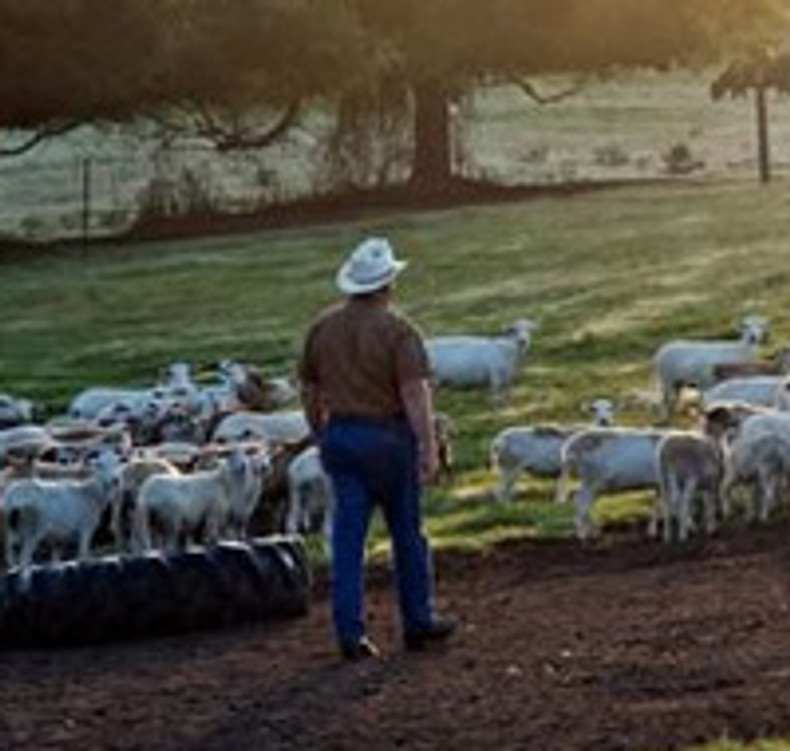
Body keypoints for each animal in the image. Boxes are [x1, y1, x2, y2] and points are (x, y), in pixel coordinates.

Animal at [488, 400, 620, 506]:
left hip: (510, 469)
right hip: (510, 467)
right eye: (593, 409)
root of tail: (498, 440)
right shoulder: (567, 468)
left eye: (611, 408)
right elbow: (564, 486)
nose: (604, 421)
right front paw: (561, 502)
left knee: (506, 491)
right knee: (499, 491)